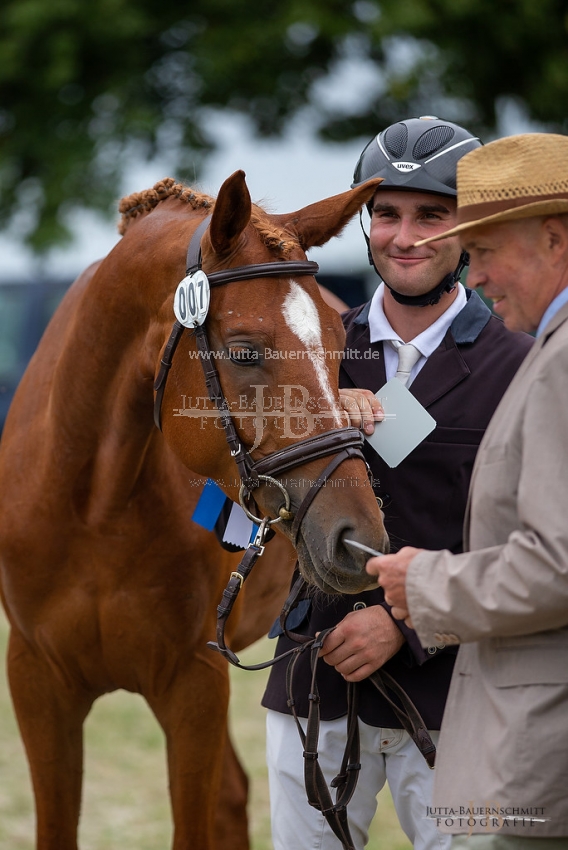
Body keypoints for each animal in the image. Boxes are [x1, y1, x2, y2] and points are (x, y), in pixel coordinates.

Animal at [0, 169, 388, 844]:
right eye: (244, 351)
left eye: (342, 344)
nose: (356, 538)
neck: (93, 507)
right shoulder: (36, 682)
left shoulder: (193, 685)